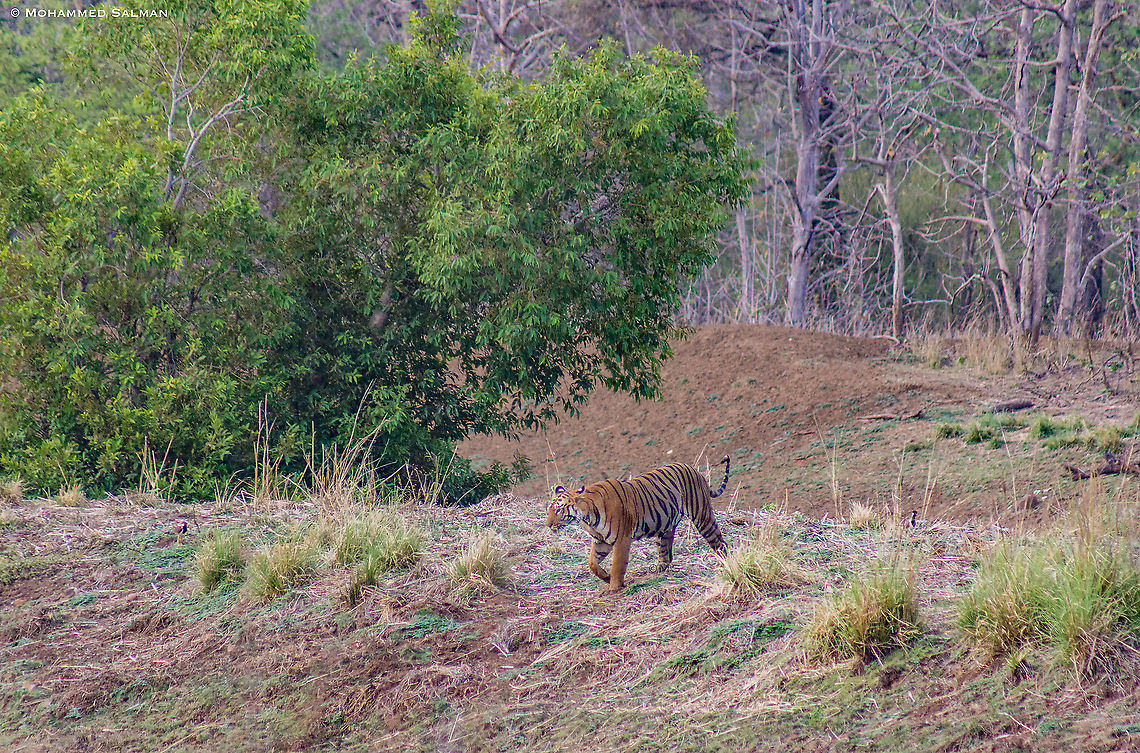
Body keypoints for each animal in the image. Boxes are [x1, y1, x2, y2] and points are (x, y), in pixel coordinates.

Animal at [546, 456, 730, 592]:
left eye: (559, 509)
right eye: (548, 510)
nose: (548, 525)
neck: (587, 516)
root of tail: (693, 469)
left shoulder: (621, 539)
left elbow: (617, 565)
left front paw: (613, 588)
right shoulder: (601, 541)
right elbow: (592, 563)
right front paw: (606, 578)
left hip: (701, 515)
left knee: (719, 542)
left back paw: (725, 564)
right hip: (665, 526)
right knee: (666, 553)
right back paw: (657, 570)